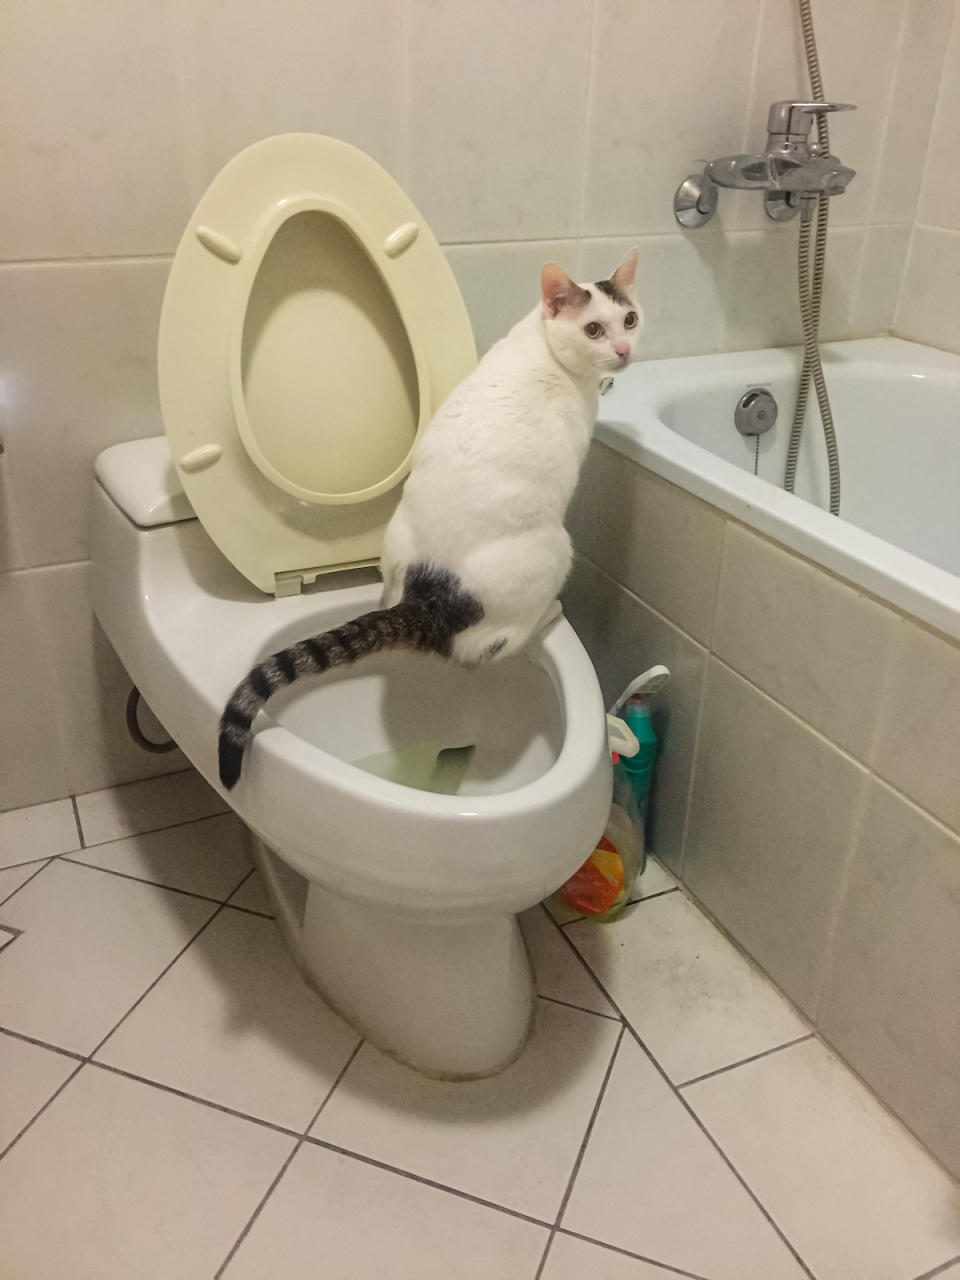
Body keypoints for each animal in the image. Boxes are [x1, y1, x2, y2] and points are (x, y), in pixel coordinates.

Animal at [221, 247, 642, 788]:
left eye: (629, 319)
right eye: (593, 329)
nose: (624, 350)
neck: (542, 346)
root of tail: (425, 598)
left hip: (396, 542)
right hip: (555, 550)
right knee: (489, 650)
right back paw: (548, 614)